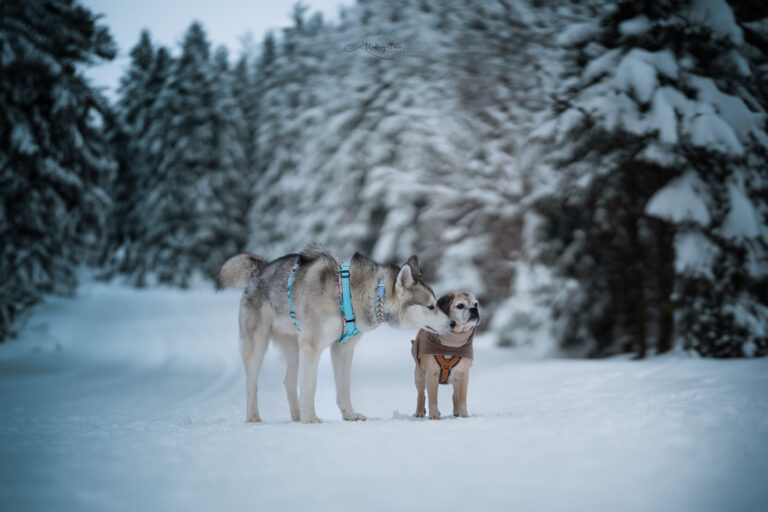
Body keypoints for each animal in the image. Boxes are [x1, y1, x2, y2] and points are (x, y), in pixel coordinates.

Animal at [216, 248, 452, 424]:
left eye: (437, 303)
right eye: (430, 306)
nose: (452, 323)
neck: (352, 294)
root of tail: (260, 269)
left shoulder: (343, 349)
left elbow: (344, 388)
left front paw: (349, 415)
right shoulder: (312, 346)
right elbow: (310, 386)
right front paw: (310, 419)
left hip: (294, 348)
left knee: (288, 381)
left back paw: (296, 415)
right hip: (258, 345)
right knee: (252, 383)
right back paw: (254, 416)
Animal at [412, 290, 476, 418]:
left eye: (476, 304)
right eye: (460, 306)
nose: (474, 310)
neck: (452, 344)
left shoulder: (463, 374)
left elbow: (462, 398)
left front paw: (464, 415)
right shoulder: (432, 373)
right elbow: (432, 398)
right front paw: (434, 415)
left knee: (455, 395)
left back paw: (457, 411)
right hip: (419, 375)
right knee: (421, 395)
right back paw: (419, 412)